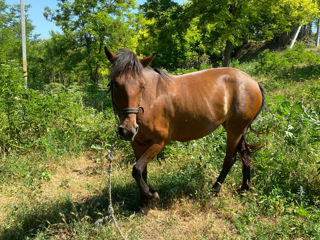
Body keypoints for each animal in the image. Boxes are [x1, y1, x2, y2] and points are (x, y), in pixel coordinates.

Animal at [105, 47, 264, 206]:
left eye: (142, 86)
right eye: (115, 83)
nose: (128, 130)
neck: (150, 101)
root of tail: (253, 82)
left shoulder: (159, 142)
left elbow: (137, 169)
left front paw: (152, 194)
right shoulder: (137, 143)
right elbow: (142, 172)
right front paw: (143, 201)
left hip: (235, 131)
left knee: (230, 159)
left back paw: (215, 190)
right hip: (238, 130)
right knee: (245, 154)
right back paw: (244, 188)